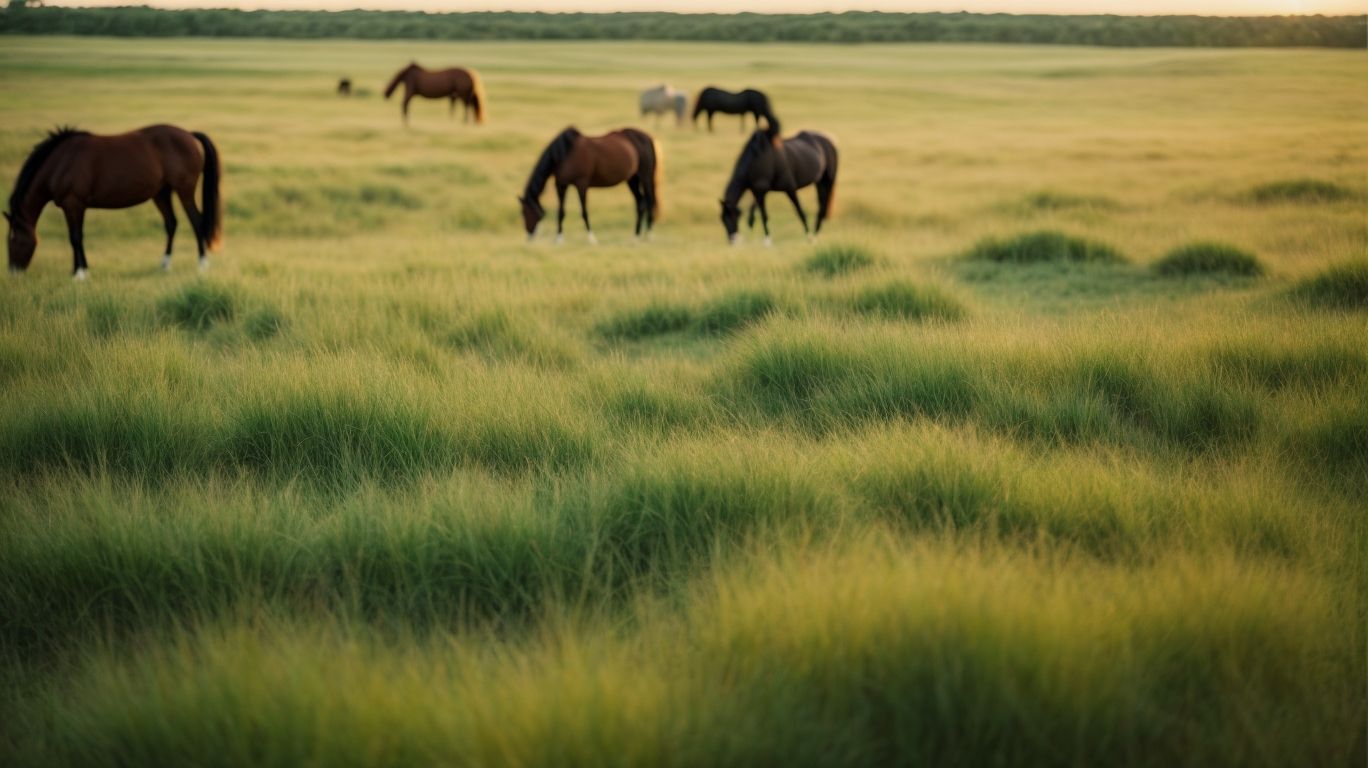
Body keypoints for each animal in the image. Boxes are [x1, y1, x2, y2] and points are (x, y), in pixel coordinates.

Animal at [6, 125, 223, 279]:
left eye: (14, 240)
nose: (13, 272)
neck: (60, 164)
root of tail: (189, 135)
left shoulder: (73, 204)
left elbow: (75, 237)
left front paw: (80, 274)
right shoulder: (75, 207)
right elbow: (77, 237)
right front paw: (79, 270)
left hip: (184, 190)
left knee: (197, 221)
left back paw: (202, 265)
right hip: (161, 193)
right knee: (171, 223)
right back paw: (164, 264)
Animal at [518, 126, 663, 244]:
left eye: (524, 212)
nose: (529, 235)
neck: (564, 154)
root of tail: (647, 137)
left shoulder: (581, 184)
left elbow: (584, 211)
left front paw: (591, 238)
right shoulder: (561, 185)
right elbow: (561, 212)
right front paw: (559, 239)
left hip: (645, 177)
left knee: (649, 201)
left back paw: (649, 235)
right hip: (632, 179)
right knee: (641, 203)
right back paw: (636, 236)